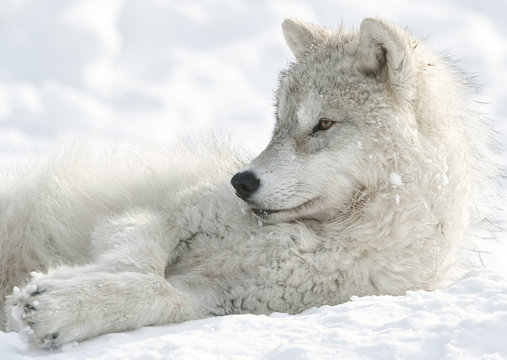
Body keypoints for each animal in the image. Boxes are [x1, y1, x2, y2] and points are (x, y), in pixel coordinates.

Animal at [0, 18, 492, 348]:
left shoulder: (216, 300)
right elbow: (138, 264)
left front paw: (61, 306)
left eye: (323, 124)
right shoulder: (159, 213)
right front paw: (62, 286)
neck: (317, 235)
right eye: (279, 123)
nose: (240, 182)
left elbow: (158, 292)